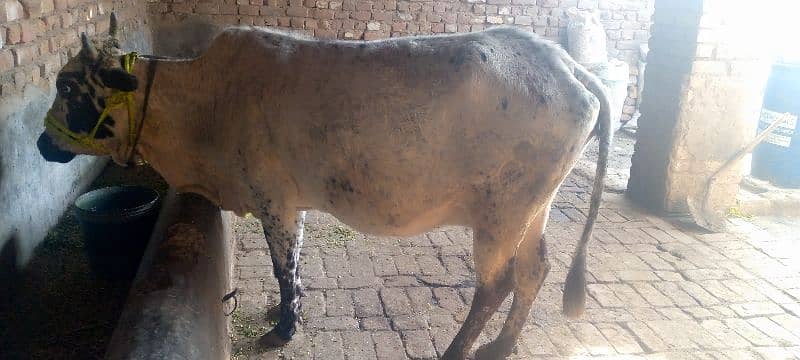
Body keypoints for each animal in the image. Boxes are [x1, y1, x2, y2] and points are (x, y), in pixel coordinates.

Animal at [37, 14, 608, 360]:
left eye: (67, 85)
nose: (43, 143)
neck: (206, 107)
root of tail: (565, 63)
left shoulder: (273, 198)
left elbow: (282, 268)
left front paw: (283, 328)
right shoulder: (294, 202)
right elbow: (295, 265)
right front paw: (285, 311)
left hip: (500, 216)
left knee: (496, 285)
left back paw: (458, 349)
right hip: (532, 210)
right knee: (535, 270)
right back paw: (501, 345)